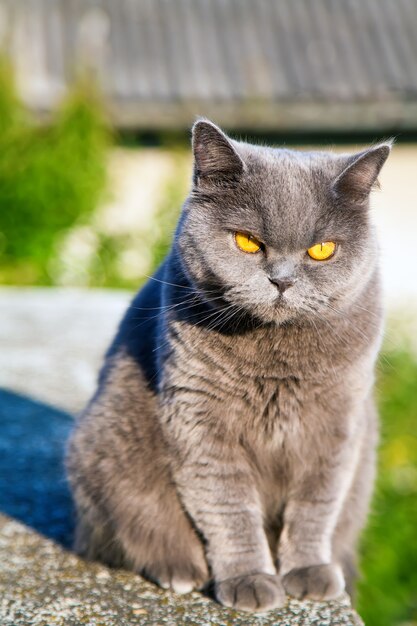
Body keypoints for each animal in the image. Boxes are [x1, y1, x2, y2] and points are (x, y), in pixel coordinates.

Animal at [67, 120, 390, 608]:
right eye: (247, 242)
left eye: (321, 250)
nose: (281, 280)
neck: (275, 355)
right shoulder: (201, 420)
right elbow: (229, 508)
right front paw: (249, 580)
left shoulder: (337, 424)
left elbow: (317, 504)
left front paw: (308, 571)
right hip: (102, 444)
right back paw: (179, 569)